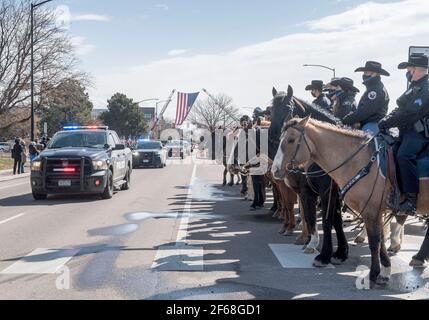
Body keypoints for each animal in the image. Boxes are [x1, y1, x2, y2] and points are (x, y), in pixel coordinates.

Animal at [278, 117, 428, 288]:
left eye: (291, 140)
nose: (276, 169)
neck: (358, 161)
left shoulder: (355, 205)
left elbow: (372, 240)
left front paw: (372, 273)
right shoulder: (374, 211)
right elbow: (379, 238)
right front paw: (384, 272)